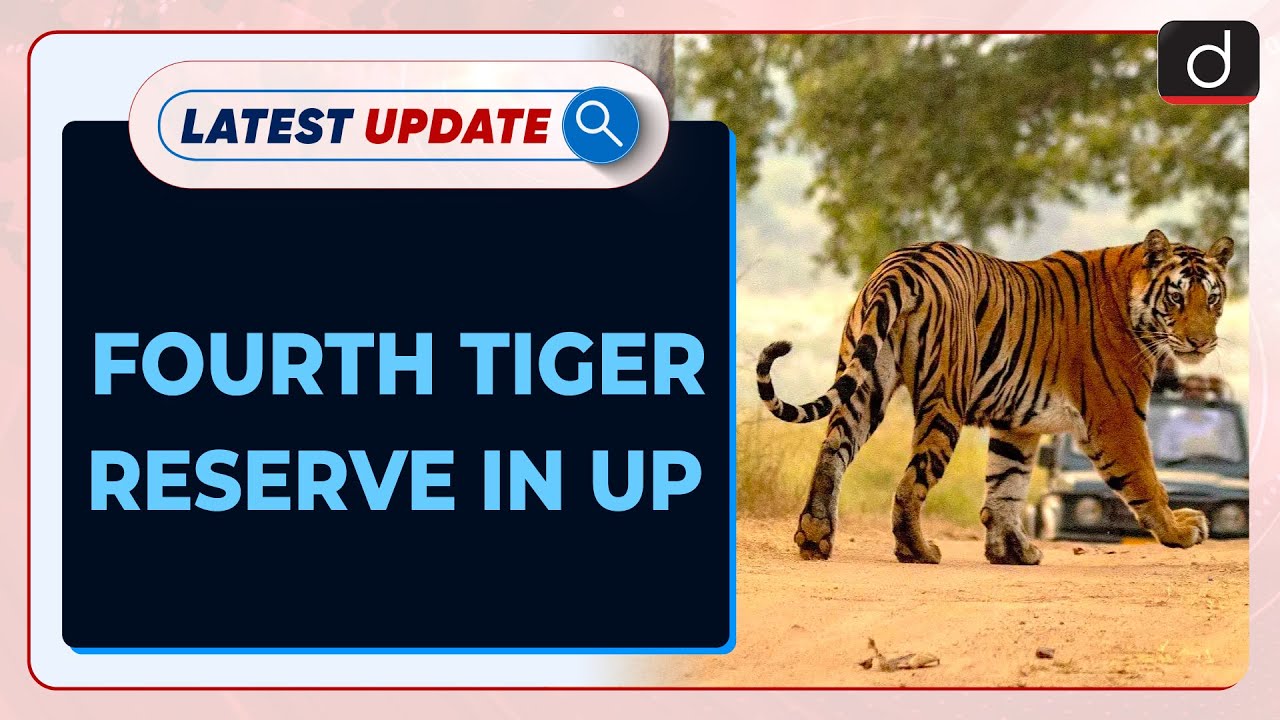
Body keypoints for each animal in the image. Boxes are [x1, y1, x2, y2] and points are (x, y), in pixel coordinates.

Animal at [755, 229, 1235, 565]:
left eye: (1212, 299)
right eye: (1176, 297)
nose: (1200, 342)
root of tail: (903, 265)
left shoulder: (1018, 422)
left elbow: (1007, 485)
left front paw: (1011, 552)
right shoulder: (1115, 417)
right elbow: (1147, 481)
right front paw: (1181, 531)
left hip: (865, 383)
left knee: (831, 452)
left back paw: (815, 537)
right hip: (944, 401)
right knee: (910, 484)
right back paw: (918, 550)